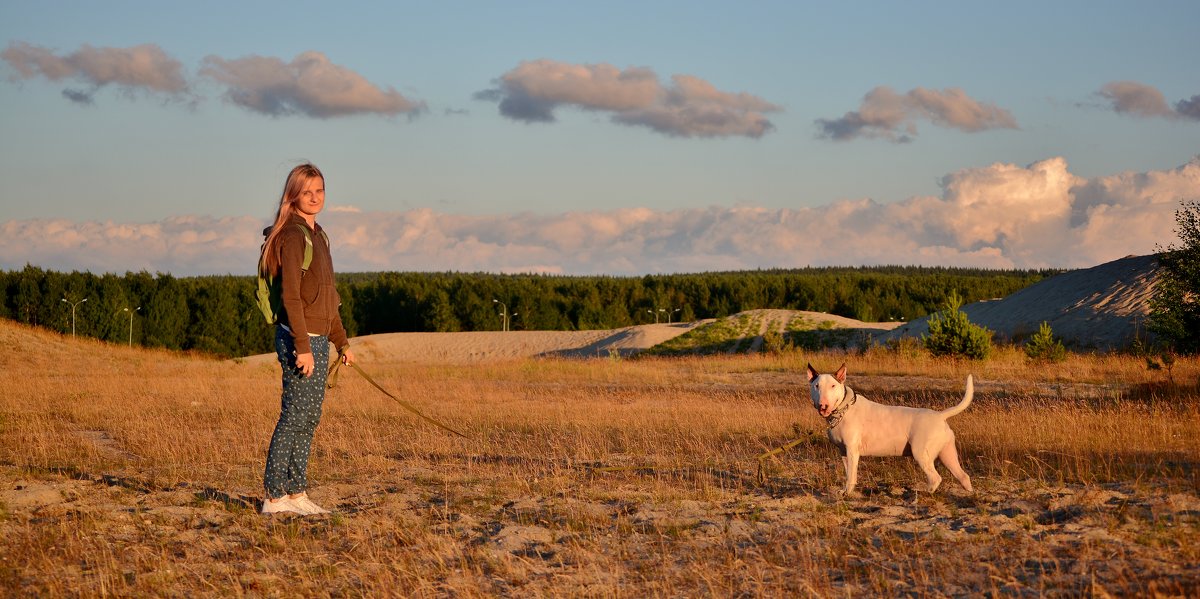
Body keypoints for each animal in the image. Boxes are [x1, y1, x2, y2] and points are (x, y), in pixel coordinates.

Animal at [806, 364, 974, 496]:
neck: (843, 409)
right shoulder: (843, 452)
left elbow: (851, 476)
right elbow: (849, 473)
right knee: (963, 476)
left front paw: (847, 493)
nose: (823, 405)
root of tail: (940, 415)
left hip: (921, 452)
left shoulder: (852, 451)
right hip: (947, 454)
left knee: (935, 478)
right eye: (816, 386)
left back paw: (922, 494)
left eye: (833, 386)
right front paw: (846, 491)